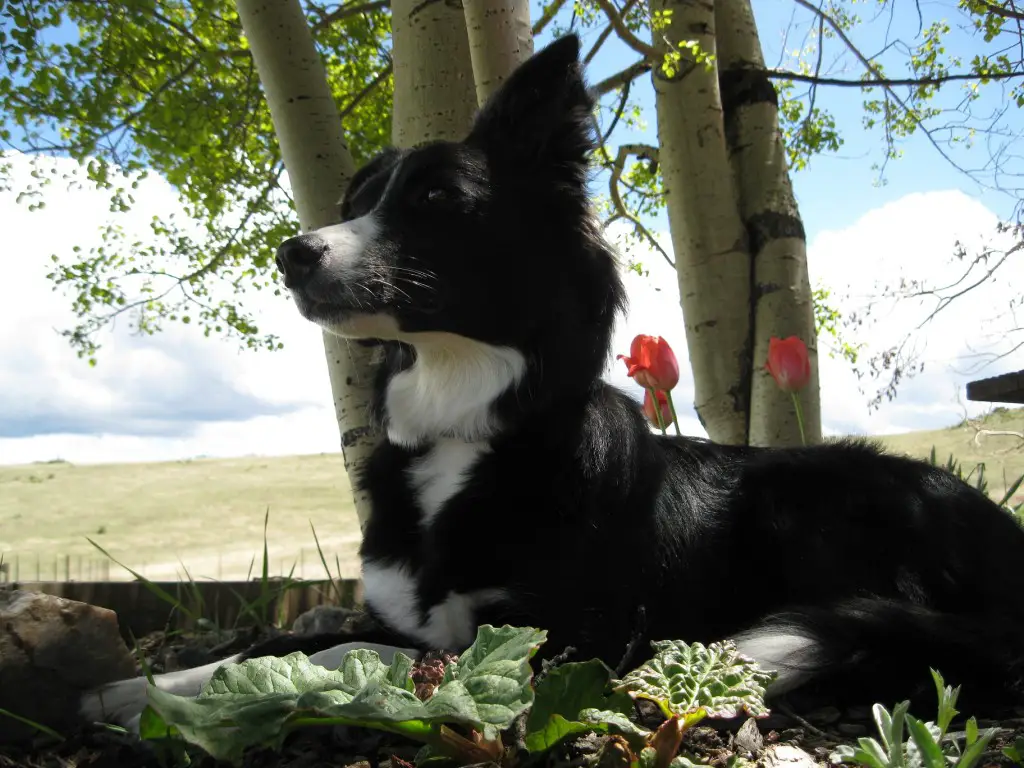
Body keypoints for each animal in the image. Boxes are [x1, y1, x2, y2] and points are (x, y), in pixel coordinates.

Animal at [83, 36, 1024, 733]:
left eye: (435, 198)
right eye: (358, 201)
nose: (292, 253)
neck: (469, 427)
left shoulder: (565, 639)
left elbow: (347, 655)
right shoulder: (400, 612)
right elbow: (274, 646)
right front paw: (134, 686)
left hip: (811, 501)